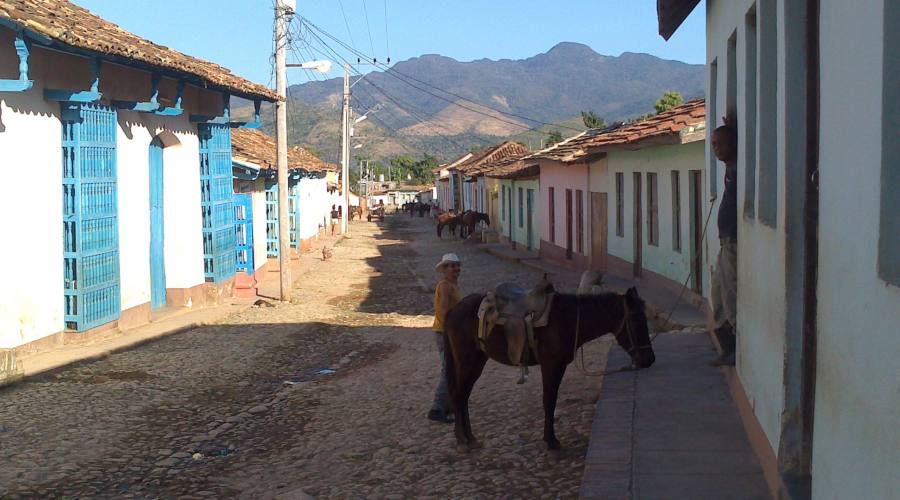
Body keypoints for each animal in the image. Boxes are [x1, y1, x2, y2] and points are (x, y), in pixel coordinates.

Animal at [442, 284, 652, 452]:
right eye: (637, 320)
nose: (649, 359)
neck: (568, 319)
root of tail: (453, 311)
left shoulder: (559, 366)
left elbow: (551, 400)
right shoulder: (551, 365)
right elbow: (549, 401)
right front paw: (551, 441)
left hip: (478, 360)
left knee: (464, 395)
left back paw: (470, 437)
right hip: (466, 360)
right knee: (457, 394)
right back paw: (462, 439)